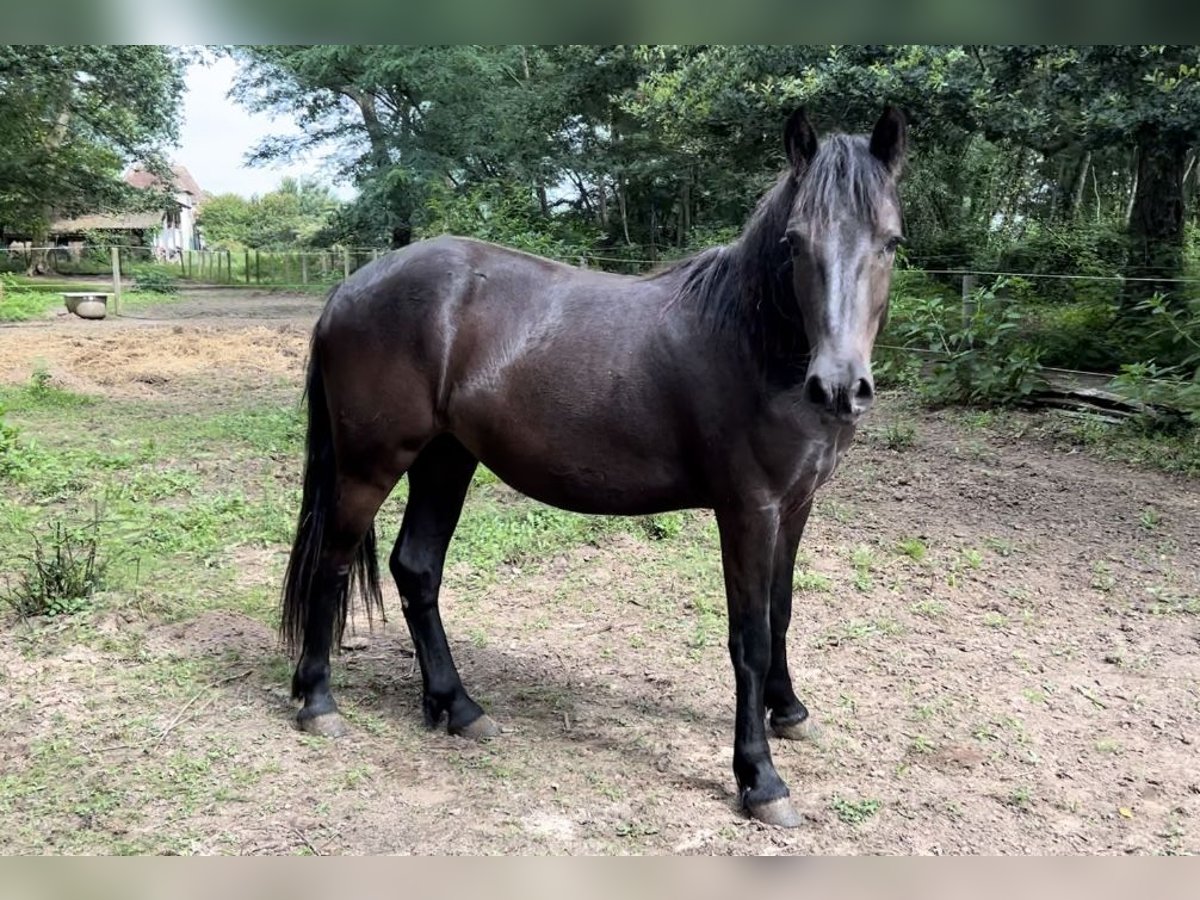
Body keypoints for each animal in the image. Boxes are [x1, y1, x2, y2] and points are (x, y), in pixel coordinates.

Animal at [278, 103, 902, 825]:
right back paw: (319, 702)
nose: (840, 387)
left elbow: (781, 612)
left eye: (890, 242)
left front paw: (791, 712)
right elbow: (747, 635)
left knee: (416, 568)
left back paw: (458, 707)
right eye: (795, 243)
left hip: (446, 459)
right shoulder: (749, 509)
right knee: (333, 563)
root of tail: (349, 288)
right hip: (370, 466)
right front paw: (760, 779)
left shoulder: (796, 505)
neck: (752, 342)